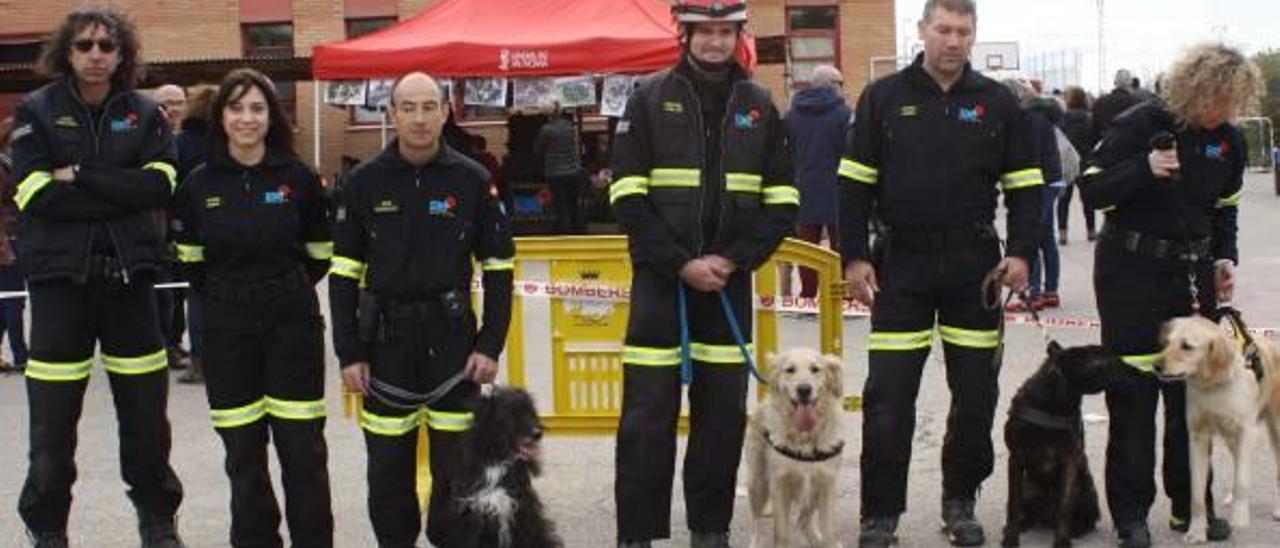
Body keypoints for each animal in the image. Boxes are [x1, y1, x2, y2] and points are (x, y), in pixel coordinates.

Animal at [440, 384, 560, 548]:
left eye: (530, 412)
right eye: (510, 414)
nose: (537, 433)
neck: (497, 460)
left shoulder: (523, 511)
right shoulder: (471, 516)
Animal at [747, 348, 844, 545]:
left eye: (815, 369)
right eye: (790, 370)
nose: (804, 389)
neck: (805, 437)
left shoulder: (826, 483)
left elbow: (828, 531)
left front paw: (827, 542)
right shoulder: (779, 485)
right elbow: (782, 534)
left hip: (812, 495)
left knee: (804, 521)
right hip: (757, 482)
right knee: (756, 521)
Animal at [1003, 343, 1126, 548]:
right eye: (1102, 360)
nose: (1133, 368)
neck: (1053, 404)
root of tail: (1045, 517)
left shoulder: (1071, 461)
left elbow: (1065, 505)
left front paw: (1062, 540)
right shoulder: (1016, 458)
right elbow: (1013, 504)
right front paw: (1011, 538)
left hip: (1087, 490)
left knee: (1087, 519)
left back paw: (1077, 530)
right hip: (1028, 487)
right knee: (1026, 511)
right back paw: (1023, 523)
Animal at [1157, 314, 1280, 540]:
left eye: (1187, 346)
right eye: (1167, 343)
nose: (1156, 366)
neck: (1213, 384)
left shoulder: (1247, 432)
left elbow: (1242, 482)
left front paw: (1239, 520)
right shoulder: (1197, 436)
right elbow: (1197, 493)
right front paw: (1196, 531)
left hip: (1275, 429)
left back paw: (1277, 509)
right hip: (1232, 438)